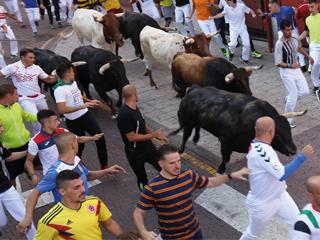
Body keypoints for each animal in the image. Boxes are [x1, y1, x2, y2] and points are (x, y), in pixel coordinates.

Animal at [170, 86, 304, 172]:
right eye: (276, 134)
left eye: (289, 130)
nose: (293, 150)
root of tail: (193, 89)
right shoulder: (225, 141)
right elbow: (225, 158)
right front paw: (221, 169)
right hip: (187, 122)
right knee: (185, 135)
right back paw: (181, 149)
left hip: (196, 120)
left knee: (197, 128)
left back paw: (195, 139)